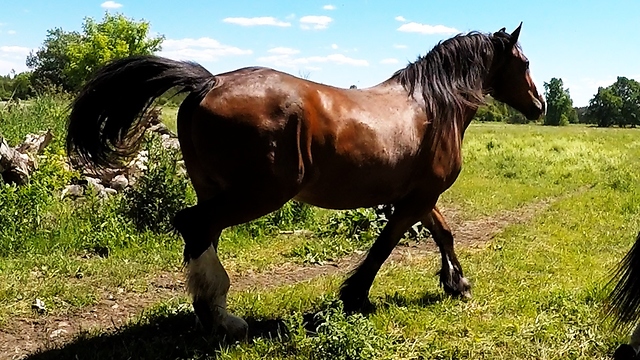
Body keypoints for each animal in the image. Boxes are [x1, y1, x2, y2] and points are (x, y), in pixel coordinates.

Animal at [65, 23, 544, 340]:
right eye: (523, 62)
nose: (539, 105)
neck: (431, 107)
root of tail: (208, 81)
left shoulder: (418, 196)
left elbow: (444, 233)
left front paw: (456, 283)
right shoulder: (416, 198)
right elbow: (385, 246)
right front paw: (355, 296)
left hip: (218, 190)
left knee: (202, 233)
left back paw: (215, 312)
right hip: (259, 194)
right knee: (195, 225)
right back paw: (220, 318)